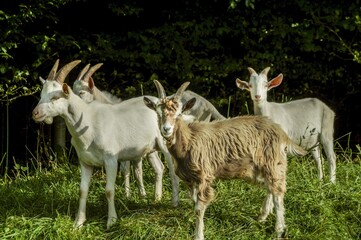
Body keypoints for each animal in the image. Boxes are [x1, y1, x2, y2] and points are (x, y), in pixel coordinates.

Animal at [142, 80, 306, 240]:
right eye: (158, 113)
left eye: (179, 114)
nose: (166, 129)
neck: (189, 140)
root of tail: (281, 132)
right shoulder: (190, 179)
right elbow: (194, 201)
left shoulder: (203, 176)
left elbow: (199, 208)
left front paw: (198, 236)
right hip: (257, 168)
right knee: (270, 186)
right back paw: (263, 216)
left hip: (273, 160)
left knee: (278, 190)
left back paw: (279, 230)